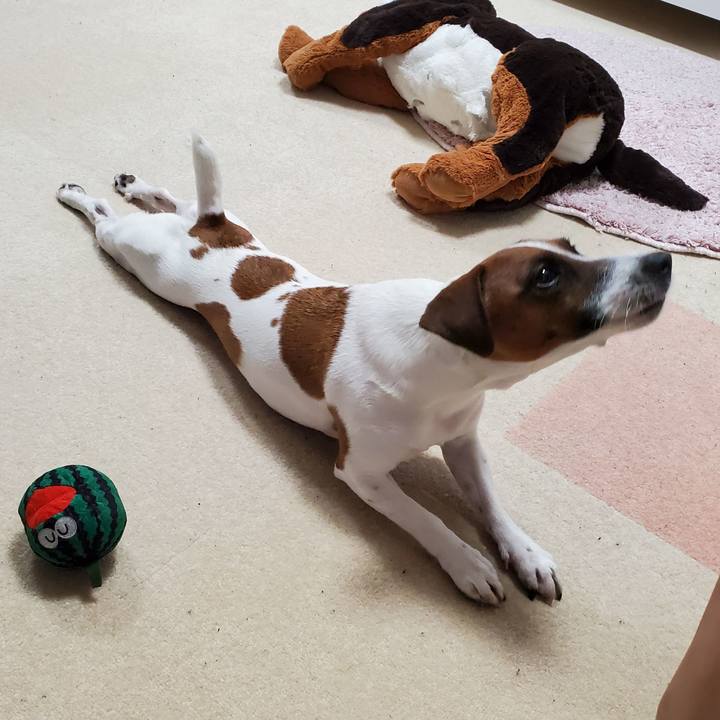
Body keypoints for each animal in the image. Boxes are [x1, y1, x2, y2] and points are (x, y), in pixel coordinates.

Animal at [56, 135, 671, 605]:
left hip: (227, 226)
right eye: (545, 276)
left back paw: (135, 184)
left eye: (572, 247)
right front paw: (468, 563)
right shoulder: (362, 473)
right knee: (106, 223)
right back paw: (78, 194)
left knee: (179, 200)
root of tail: (207, 236)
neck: (445, 369)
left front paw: (524, 552)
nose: (662, 262)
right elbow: (426, 519)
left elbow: (492, 504)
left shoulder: (464, 443)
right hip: (140, 259)